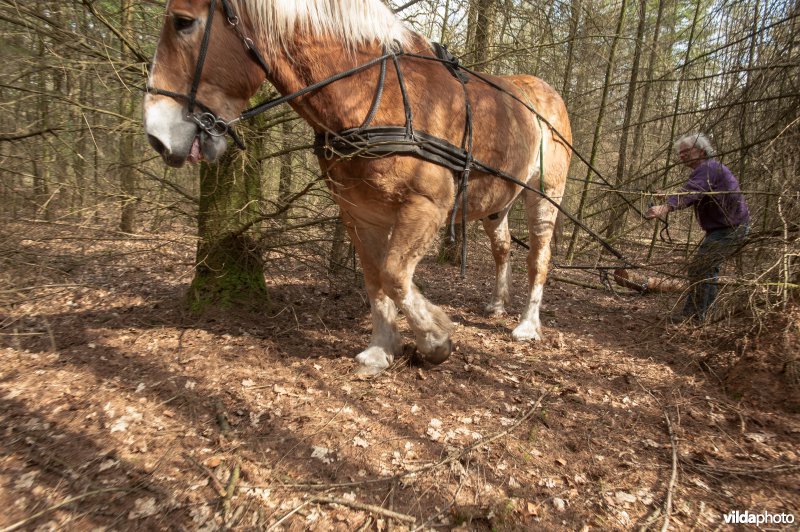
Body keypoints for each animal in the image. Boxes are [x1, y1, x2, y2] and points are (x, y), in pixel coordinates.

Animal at [144, 0, 568, 376]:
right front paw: (382, 348)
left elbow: (395, 275)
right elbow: (375, 277)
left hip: (546, 196)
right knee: (502, 249)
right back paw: (496, 304)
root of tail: (546, 92)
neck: (376, 97)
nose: (156, 136)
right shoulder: (359, 212)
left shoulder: (428, 206)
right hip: (498, 203)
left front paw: (435, 339)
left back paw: (527, 325)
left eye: (183, 22)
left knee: (539, 259)